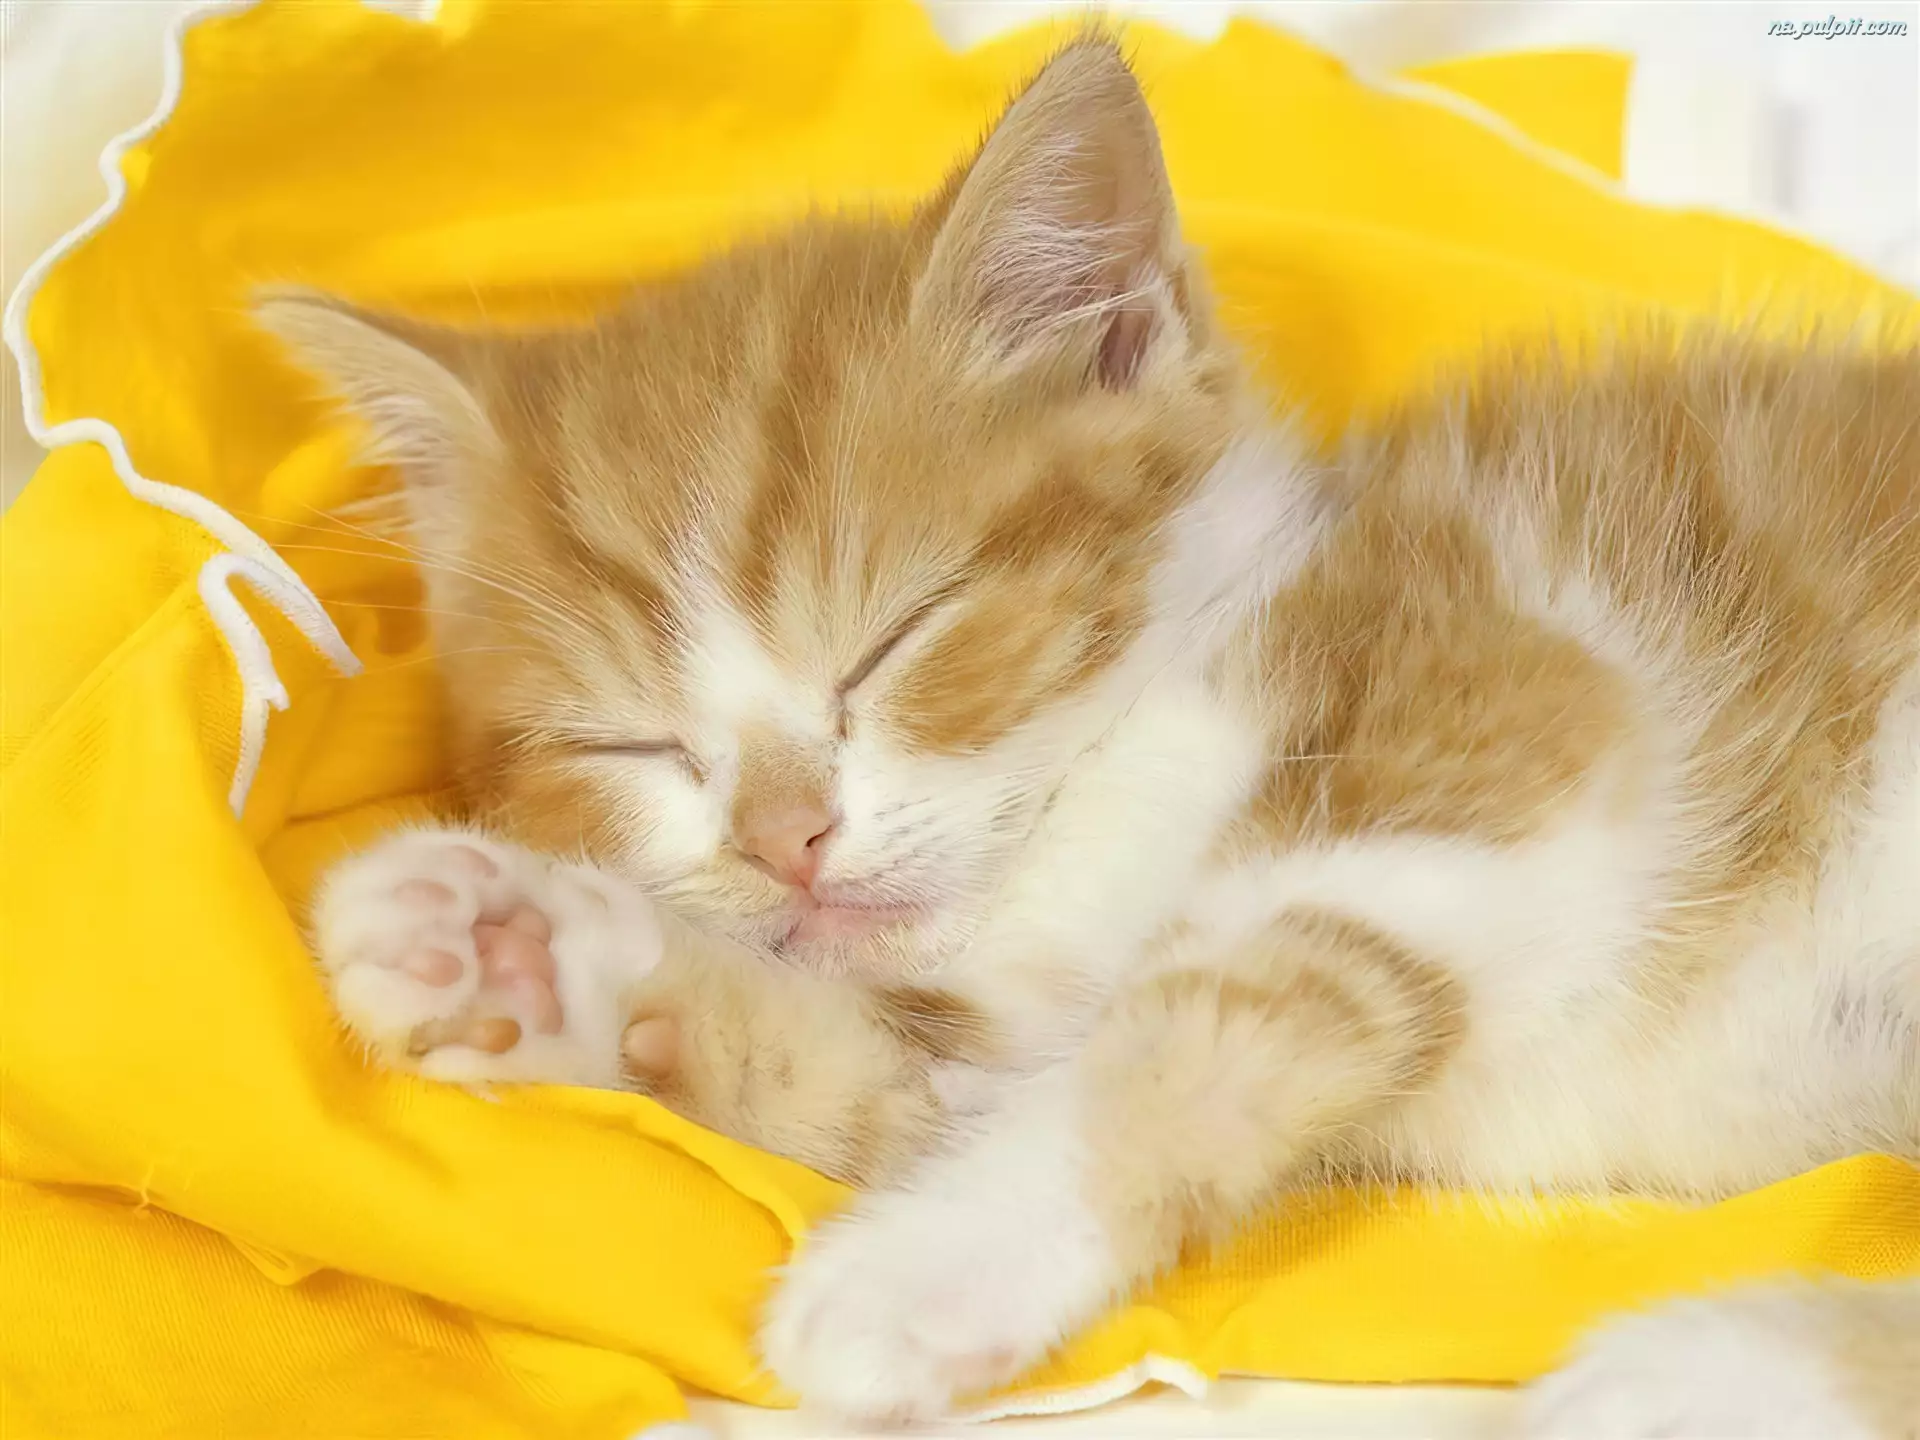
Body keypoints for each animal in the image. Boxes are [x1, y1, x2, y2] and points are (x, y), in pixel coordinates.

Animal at [269, 37, 1920, 1438]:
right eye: (627, 748)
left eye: (900, 638)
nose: (786, 840)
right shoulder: (989, 1011)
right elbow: (881, 1074)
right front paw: (513, 944)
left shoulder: (1519, 686)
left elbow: (1242, 990)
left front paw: (924, 1268)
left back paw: (1698, 1372)